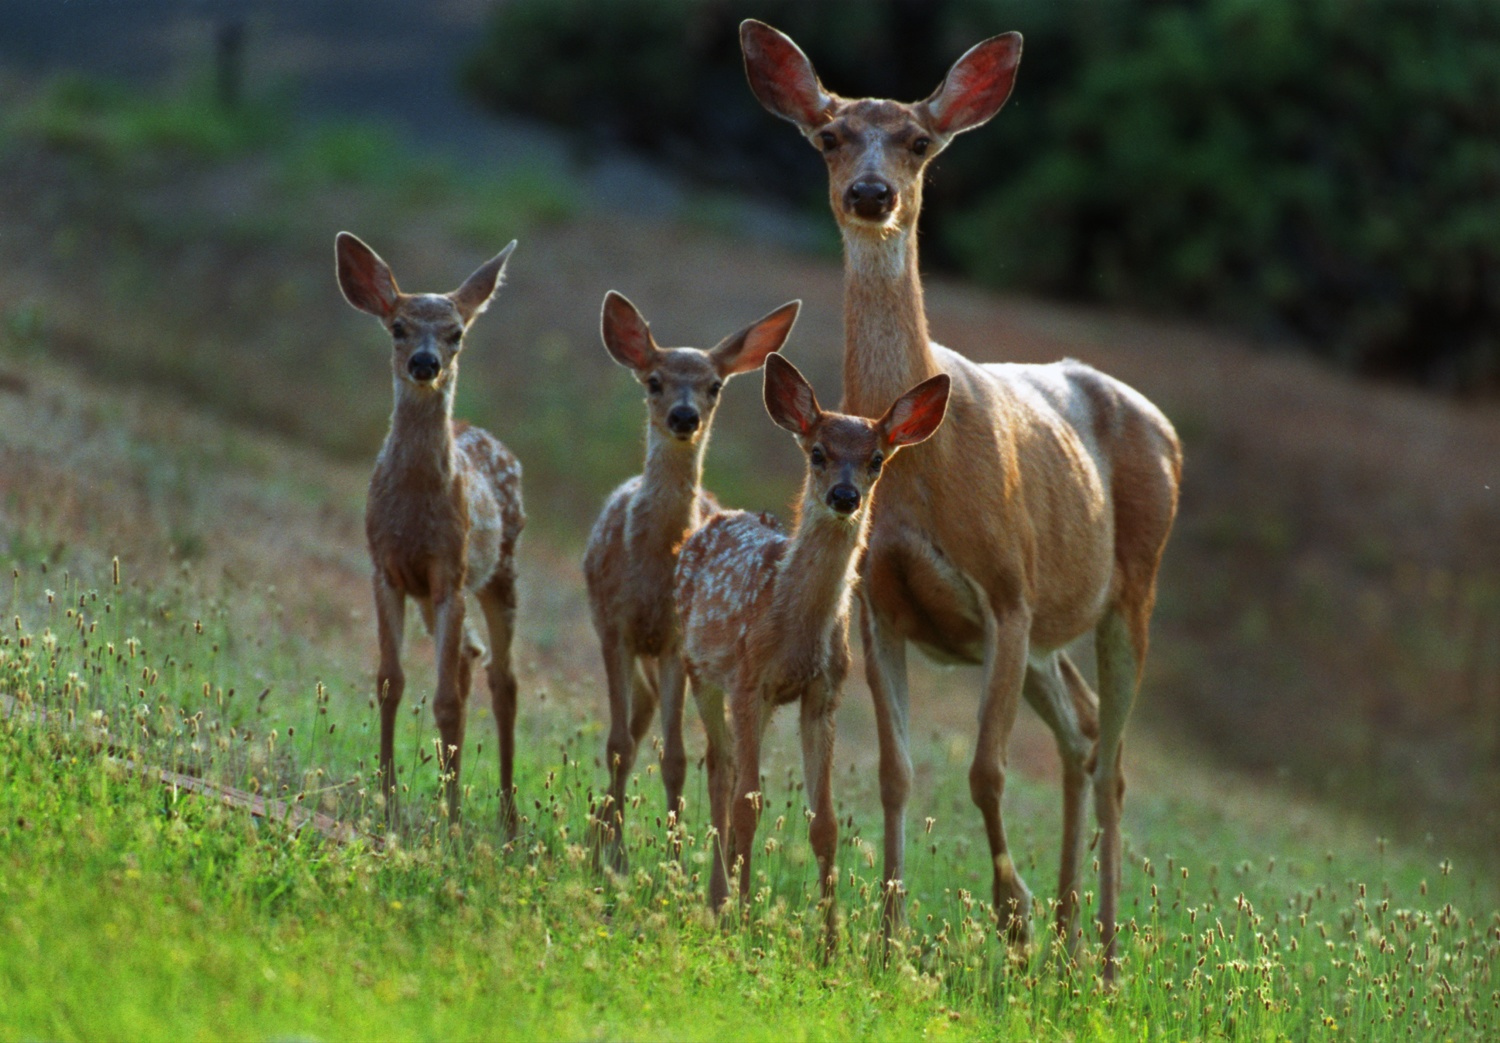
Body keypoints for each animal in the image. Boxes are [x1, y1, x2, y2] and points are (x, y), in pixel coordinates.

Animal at [337, 234, 525, 834]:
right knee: (469, 657)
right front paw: (387, 797)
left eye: (456, 333)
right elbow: (389, 682)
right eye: (397, 326)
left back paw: (505, 819)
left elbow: (443, 700)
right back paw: (454, 792)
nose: (426, 363)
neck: (415, 513)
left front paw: (453, 823)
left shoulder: (450, 572)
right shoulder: (386, 569)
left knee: (501, 680)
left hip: (500, 571)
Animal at [582, 289, 804, 870]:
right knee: (631, 726)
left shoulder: (674, 643)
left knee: (646, 718)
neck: (649, 566)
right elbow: (617, 744)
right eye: (653, 380)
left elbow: (676, 757)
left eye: (715, 385)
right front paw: (613, 855)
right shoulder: (612, 625)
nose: (685, 416)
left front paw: (673, 857)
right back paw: (602, 832)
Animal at [678, 352, 948, 930]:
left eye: (876, 460)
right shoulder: (748, 682)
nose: (844, 496)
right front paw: (742, 922)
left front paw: (830, 938)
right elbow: (748, 803)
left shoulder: (824, 692)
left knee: (726, 768)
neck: (792, 629)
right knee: (720, 770)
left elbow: (824, 821)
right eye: (818, 453)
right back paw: (719, 900)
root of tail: (715, 518)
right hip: (698, 669)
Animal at [744, 18, 1176, 978]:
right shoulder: (883, 608)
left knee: (1115, 761)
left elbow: (983, 769)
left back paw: (1102, 958)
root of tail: (1163, 427)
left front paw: (1011, 916)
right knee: (1083, 732)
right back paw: (1067, 943)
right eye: (829, 136)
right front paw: (886, 937)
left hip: (1130, 588)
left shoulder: (1007, 590)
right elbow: (897, 772)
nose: (871, 194)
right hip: (1050, 634)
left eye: (918, 141)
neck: (921, 471)